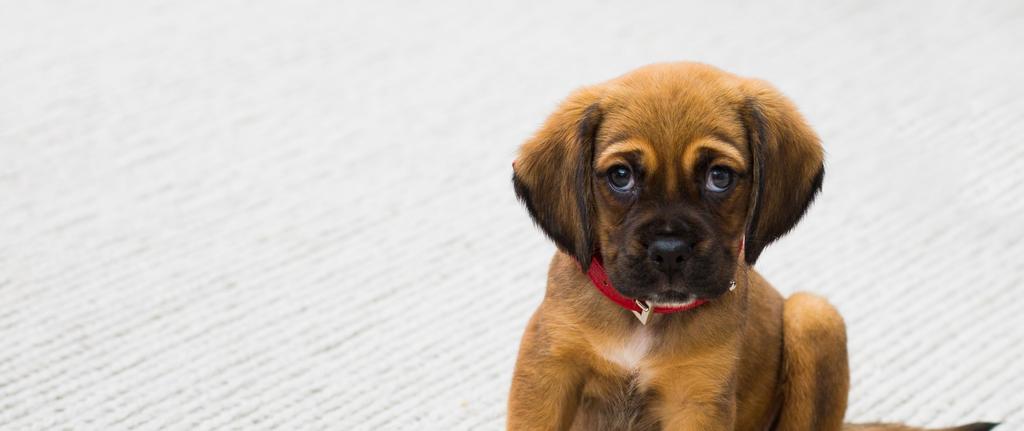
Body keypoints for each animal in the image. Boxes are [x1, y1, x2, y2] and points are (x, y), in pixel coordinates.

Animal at [507, 62, 995, 429]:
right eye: (621, 176)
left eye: (719, 177)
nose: (669, 250)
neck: (644, 319)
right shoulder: (546, 377)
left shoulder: (697, 401)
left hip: (815, 317)